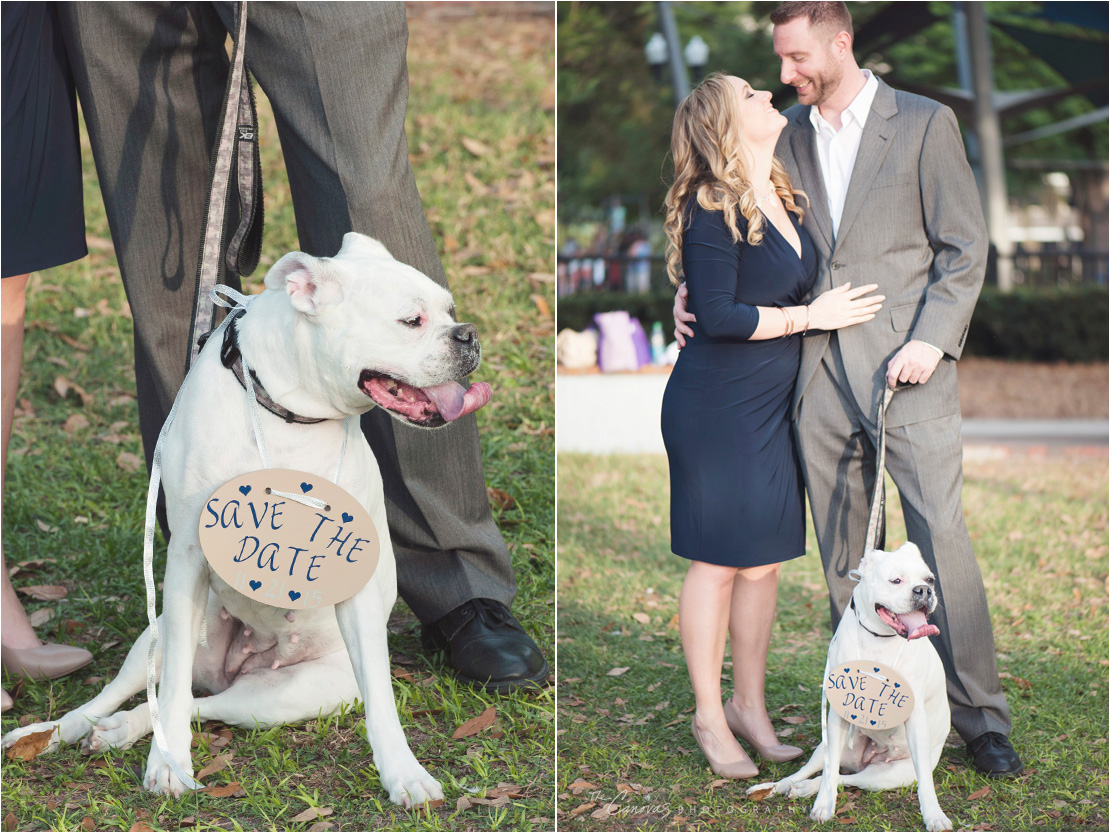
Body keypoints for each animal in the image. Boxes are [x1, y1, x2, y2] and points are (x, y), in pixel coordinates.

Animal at [3, 235, 490, 808]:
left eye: (450, 311)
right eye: (411, 320)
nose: (469, 335)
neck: (293, 415)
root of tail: (237, 665)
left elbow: (382, 703)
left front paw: (404, 774)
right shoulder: (188, 560)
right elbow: (168, 692)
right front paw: (169, 767)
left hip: (281, 697)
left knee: (198, 706)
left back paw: (120, 731)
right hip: (160, 635)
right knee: (130, 694)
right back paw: (50, 733)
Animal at [754, 544, 954, 830]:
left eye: (930, 580)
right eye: (896, 580)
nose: (924, 591)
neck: (880, 638)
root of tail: (866, 760)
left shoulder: (914, 719)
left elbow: (926, 783)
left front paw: (934, 816)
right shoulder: (837, 712)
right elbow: (827, 776)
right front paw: (823, 806)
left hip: (887, 776)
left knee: (842, 778)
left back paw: (803, 789)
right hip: (827, 747)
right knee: (816, 771)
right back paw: (773, 788)